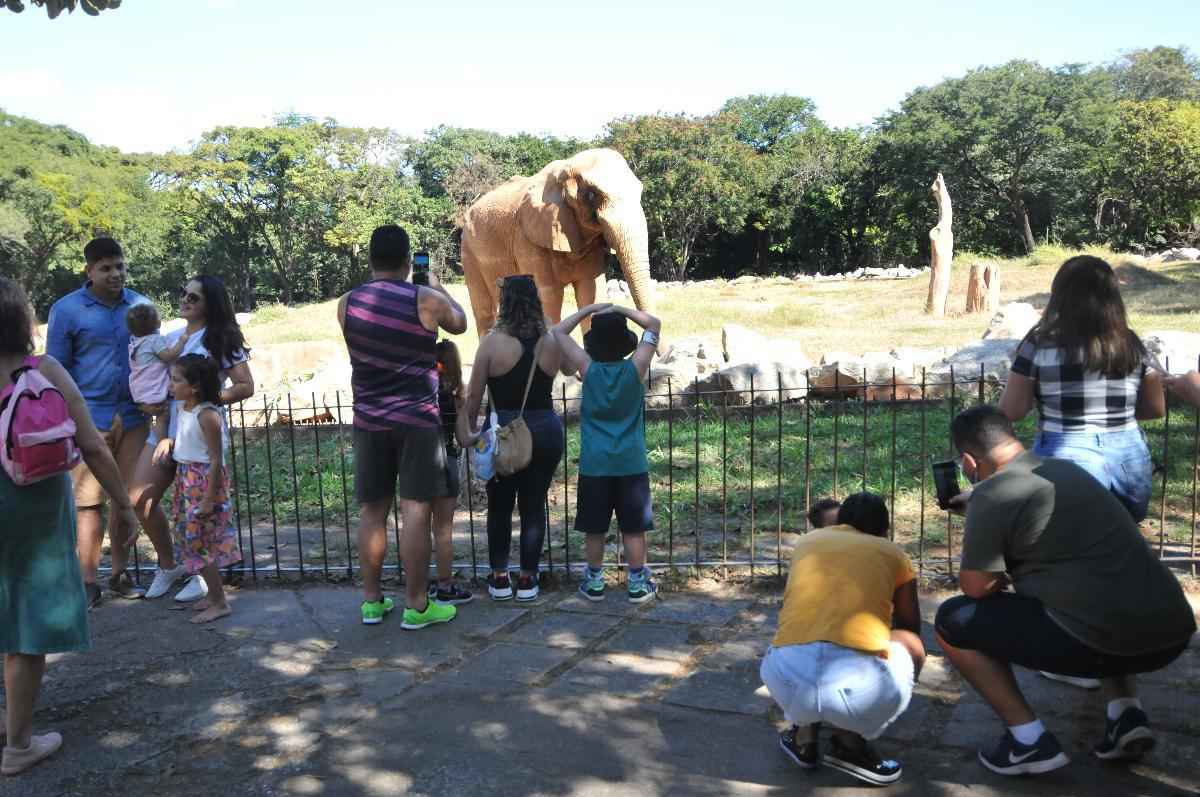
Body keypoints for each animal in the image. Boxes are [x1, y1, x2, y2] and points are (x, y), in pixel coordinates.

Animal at [460, 147, 657, 340]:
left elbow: (589, 293)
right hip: (468, 252)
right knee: (483, 310)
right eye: (591, 195)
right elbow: (549, 296)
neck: (566, 167)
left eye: (639, 192)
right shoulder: (527, 238)